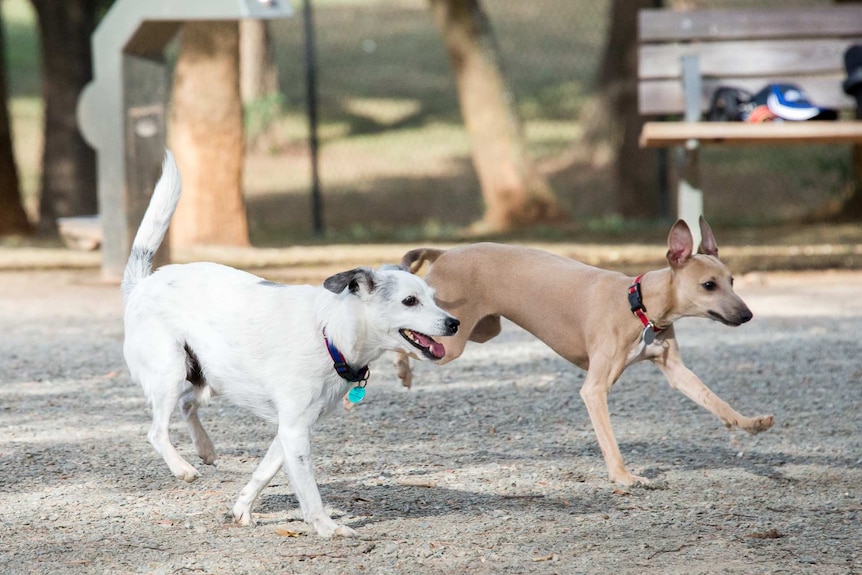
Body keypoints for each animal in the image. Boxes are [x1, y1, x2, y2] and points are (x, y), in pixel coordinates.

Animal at [122, 151, 462, 536]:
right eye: (409, 301)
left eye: (432, 297)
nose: (453, 323)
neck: (330, 334)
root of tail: (144, 282)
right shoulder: (296, 431)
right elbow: (309, 491)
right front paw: (328, 528)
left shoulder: (290, 429)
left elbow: (263, 473)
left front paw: (241, 509)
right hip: (169, 371)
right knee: (157, 431)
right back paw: (183, 468)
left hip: (209, 379)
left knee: (186, 404)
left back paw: (205, 449)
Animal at [398, 216, 776, 486]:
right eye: (708, 285)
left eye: (732, 282)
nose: (747, 315)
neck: (639, 305)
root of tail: (444, 252)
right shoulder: (595, 389)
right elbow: (609, 438)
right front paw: (624, 477)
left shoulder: (676, 372)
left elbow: (715, 400)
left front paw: (750, 423)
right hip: (451, 343)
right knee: (408, 339)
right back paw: (401, 369)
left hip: (484, 330)